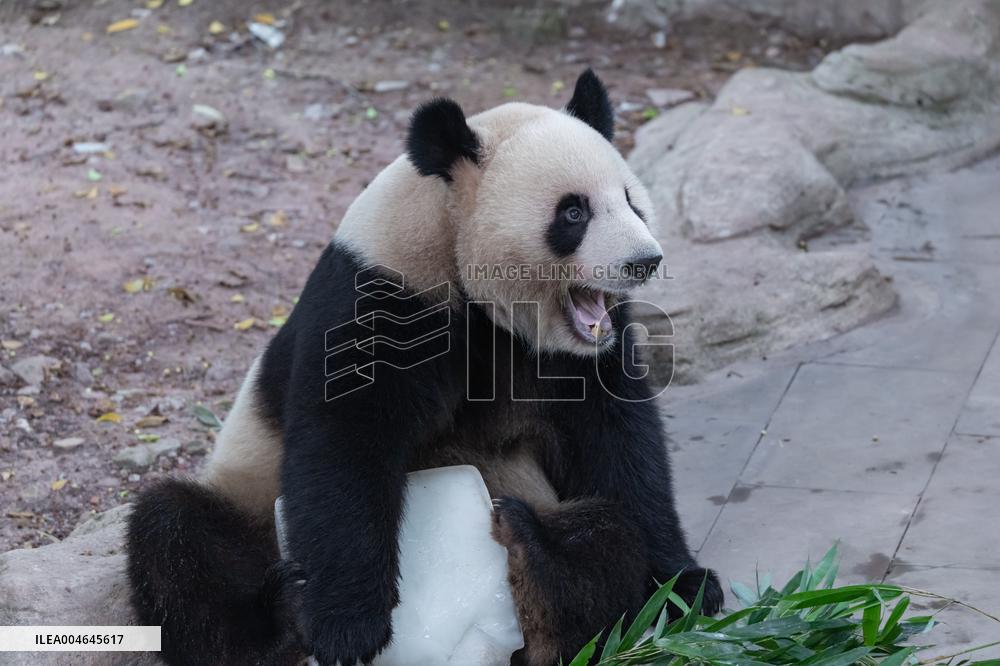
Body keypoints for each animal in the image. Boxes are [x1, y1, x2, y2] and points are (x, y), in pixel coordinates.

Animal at [126, 69, 723, 666]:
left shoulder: (578, 351)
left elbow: (620, 444)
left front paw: (685, 586)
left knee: (603, 534)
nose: (644, 261)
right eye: (573, 212)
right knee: (178, 537)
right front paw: (347, 626)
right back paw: (279, 622)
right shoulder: (385, 291)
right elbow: (344, 445)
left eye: (630, 201)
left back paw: (534, 564)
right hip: (247, 499)